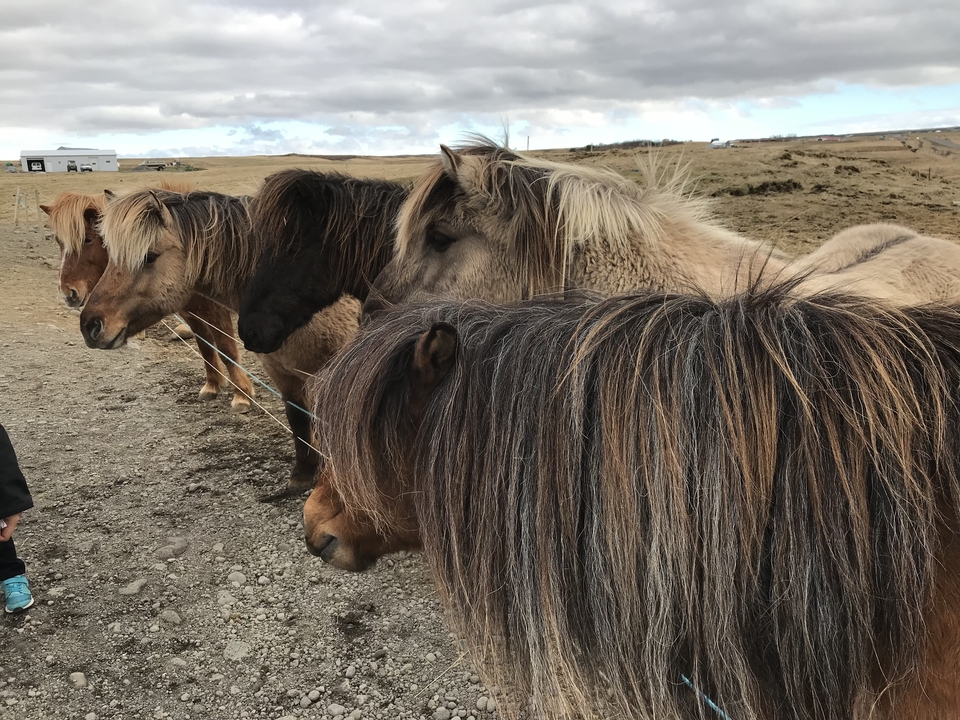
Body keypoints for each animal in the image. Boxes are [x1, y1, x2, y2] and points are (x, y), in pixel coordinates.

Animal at [41, 189, 256, 413]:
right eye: (58, 242)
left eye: (88, 240)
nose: (68, 293)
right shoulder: (192, 314)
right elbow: (205, 346)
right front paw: (212, 385)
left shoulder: (215, 311)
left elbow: (226, 349)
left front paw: (242, 396)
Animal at [78, 188, 359, 491]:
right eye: (110, 256)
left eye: (149, 256)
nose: (90, 325)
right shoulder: (283, 373)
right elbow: (298, 419)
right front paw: (304, 474)